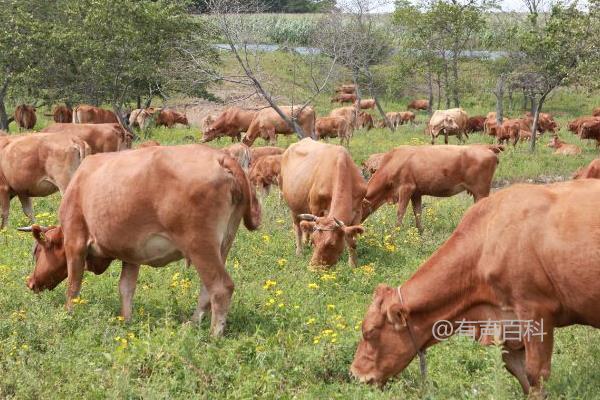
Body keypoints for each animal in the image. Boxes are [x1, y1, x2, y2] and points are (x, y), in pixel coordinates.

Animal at [20, 145, 260, 336]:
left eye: (37, 252)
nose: (30, 282)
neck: (81, 182)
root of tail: (220, 156)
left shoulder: (75, 241)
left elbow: (73, 285)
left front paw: (68, 314)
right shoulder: (131, 254)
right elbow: (126, 288)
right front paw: (126, 321)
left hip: (200, 245)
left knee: (220, 287)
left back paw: (213, 336)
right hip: (223, 244)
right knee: (206, 289)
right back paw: (191, 325)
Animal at [280, 138, 366, 268]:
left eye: (331, 244)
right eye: (315, 241)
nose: (314, 268)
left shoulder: (358, 211)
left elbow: (352, 240)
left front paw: (352, 264)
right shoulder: (316, 208)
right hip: (293, 206)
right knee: (297, 227)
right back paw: (299, 251)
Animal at [350, 180, 600, 396]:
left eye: (369, 332)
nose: (354, 374)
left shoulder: (536, 311)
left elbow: (535, 375)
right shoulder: (506, 325)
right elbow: (521, 374)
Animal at [364, 144, 500, 231]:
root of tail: (485, 146)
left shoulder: (406, 188)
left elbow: (400, 212)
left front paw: (395, 235)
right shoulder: (416, 193)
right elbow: (417, 213)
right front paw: (420, 234)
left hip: (481, 191)